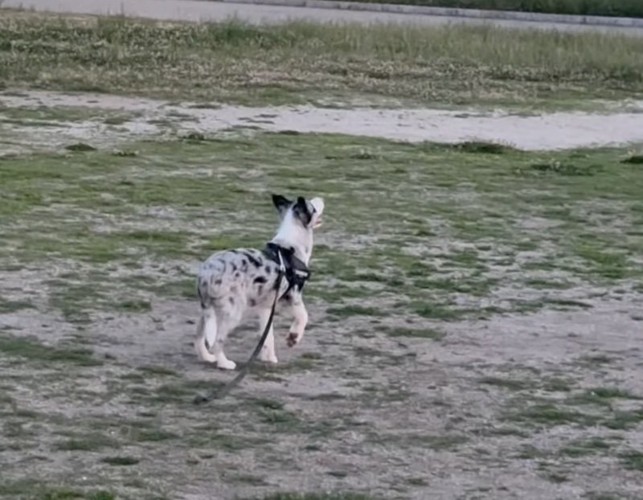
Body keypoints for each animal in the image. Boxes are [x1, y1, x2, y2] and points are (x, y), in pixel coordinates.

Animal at [195, 193, 328, 370]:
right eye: (313, 206)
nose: (321, 198)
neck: (291, 247)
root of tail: (206, 273)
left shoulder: (266, 307)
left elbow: (267, 336)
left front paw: (269, 358)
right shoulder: (293, 297)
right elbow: (303, 317)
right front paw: (293, 338)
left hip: (208, 312)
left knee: (199, 337)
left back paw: (207, 357)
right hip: (233, 312)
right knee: (217, 341)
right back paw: (224, 363)